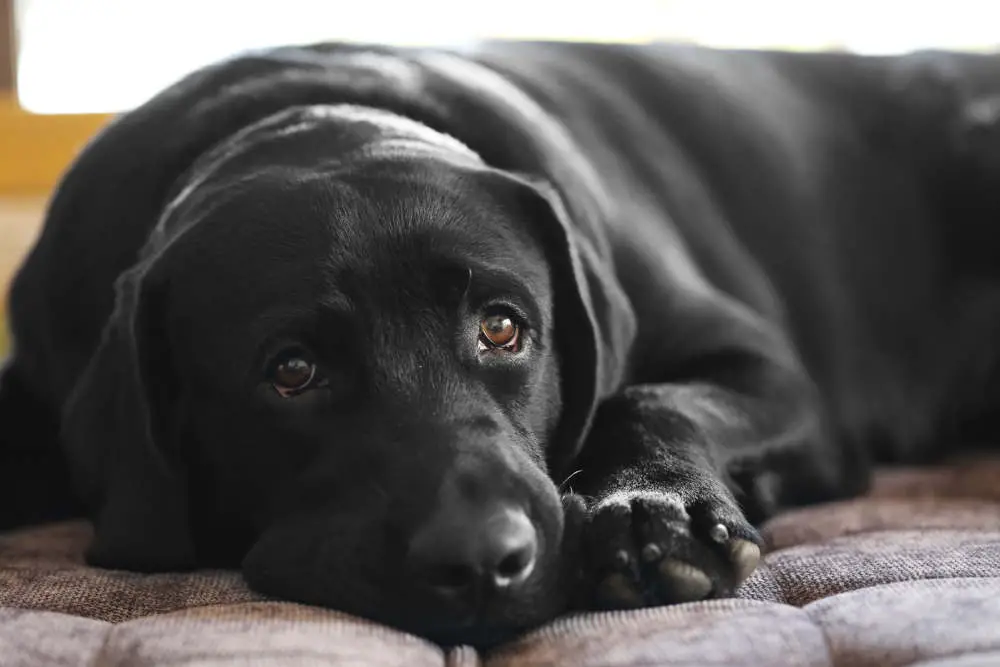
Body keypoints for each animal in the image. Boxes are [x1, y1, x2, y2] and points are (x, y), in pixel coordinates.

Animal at [1, 40, 1000, 640]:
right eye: (291, 370)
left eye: (503, 327)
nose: (484, 560)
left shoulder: (771, 374)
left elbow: (649, 395)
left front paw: (654, 509)